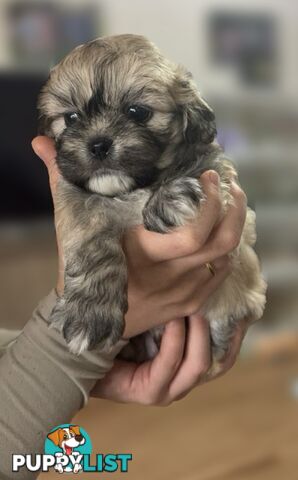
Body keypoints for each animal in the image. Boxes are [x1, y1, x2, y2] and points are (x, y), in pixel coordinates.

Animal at [36, 33, 266, 360]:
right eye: (71, 118)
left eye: (137, 112)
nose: (98, 144)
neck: (131, 189)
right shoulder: (75, 199)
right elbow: (91, 241)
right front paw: (90, 313)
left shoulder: (219, 175)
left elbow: (203, 168)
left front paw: (169, 198)